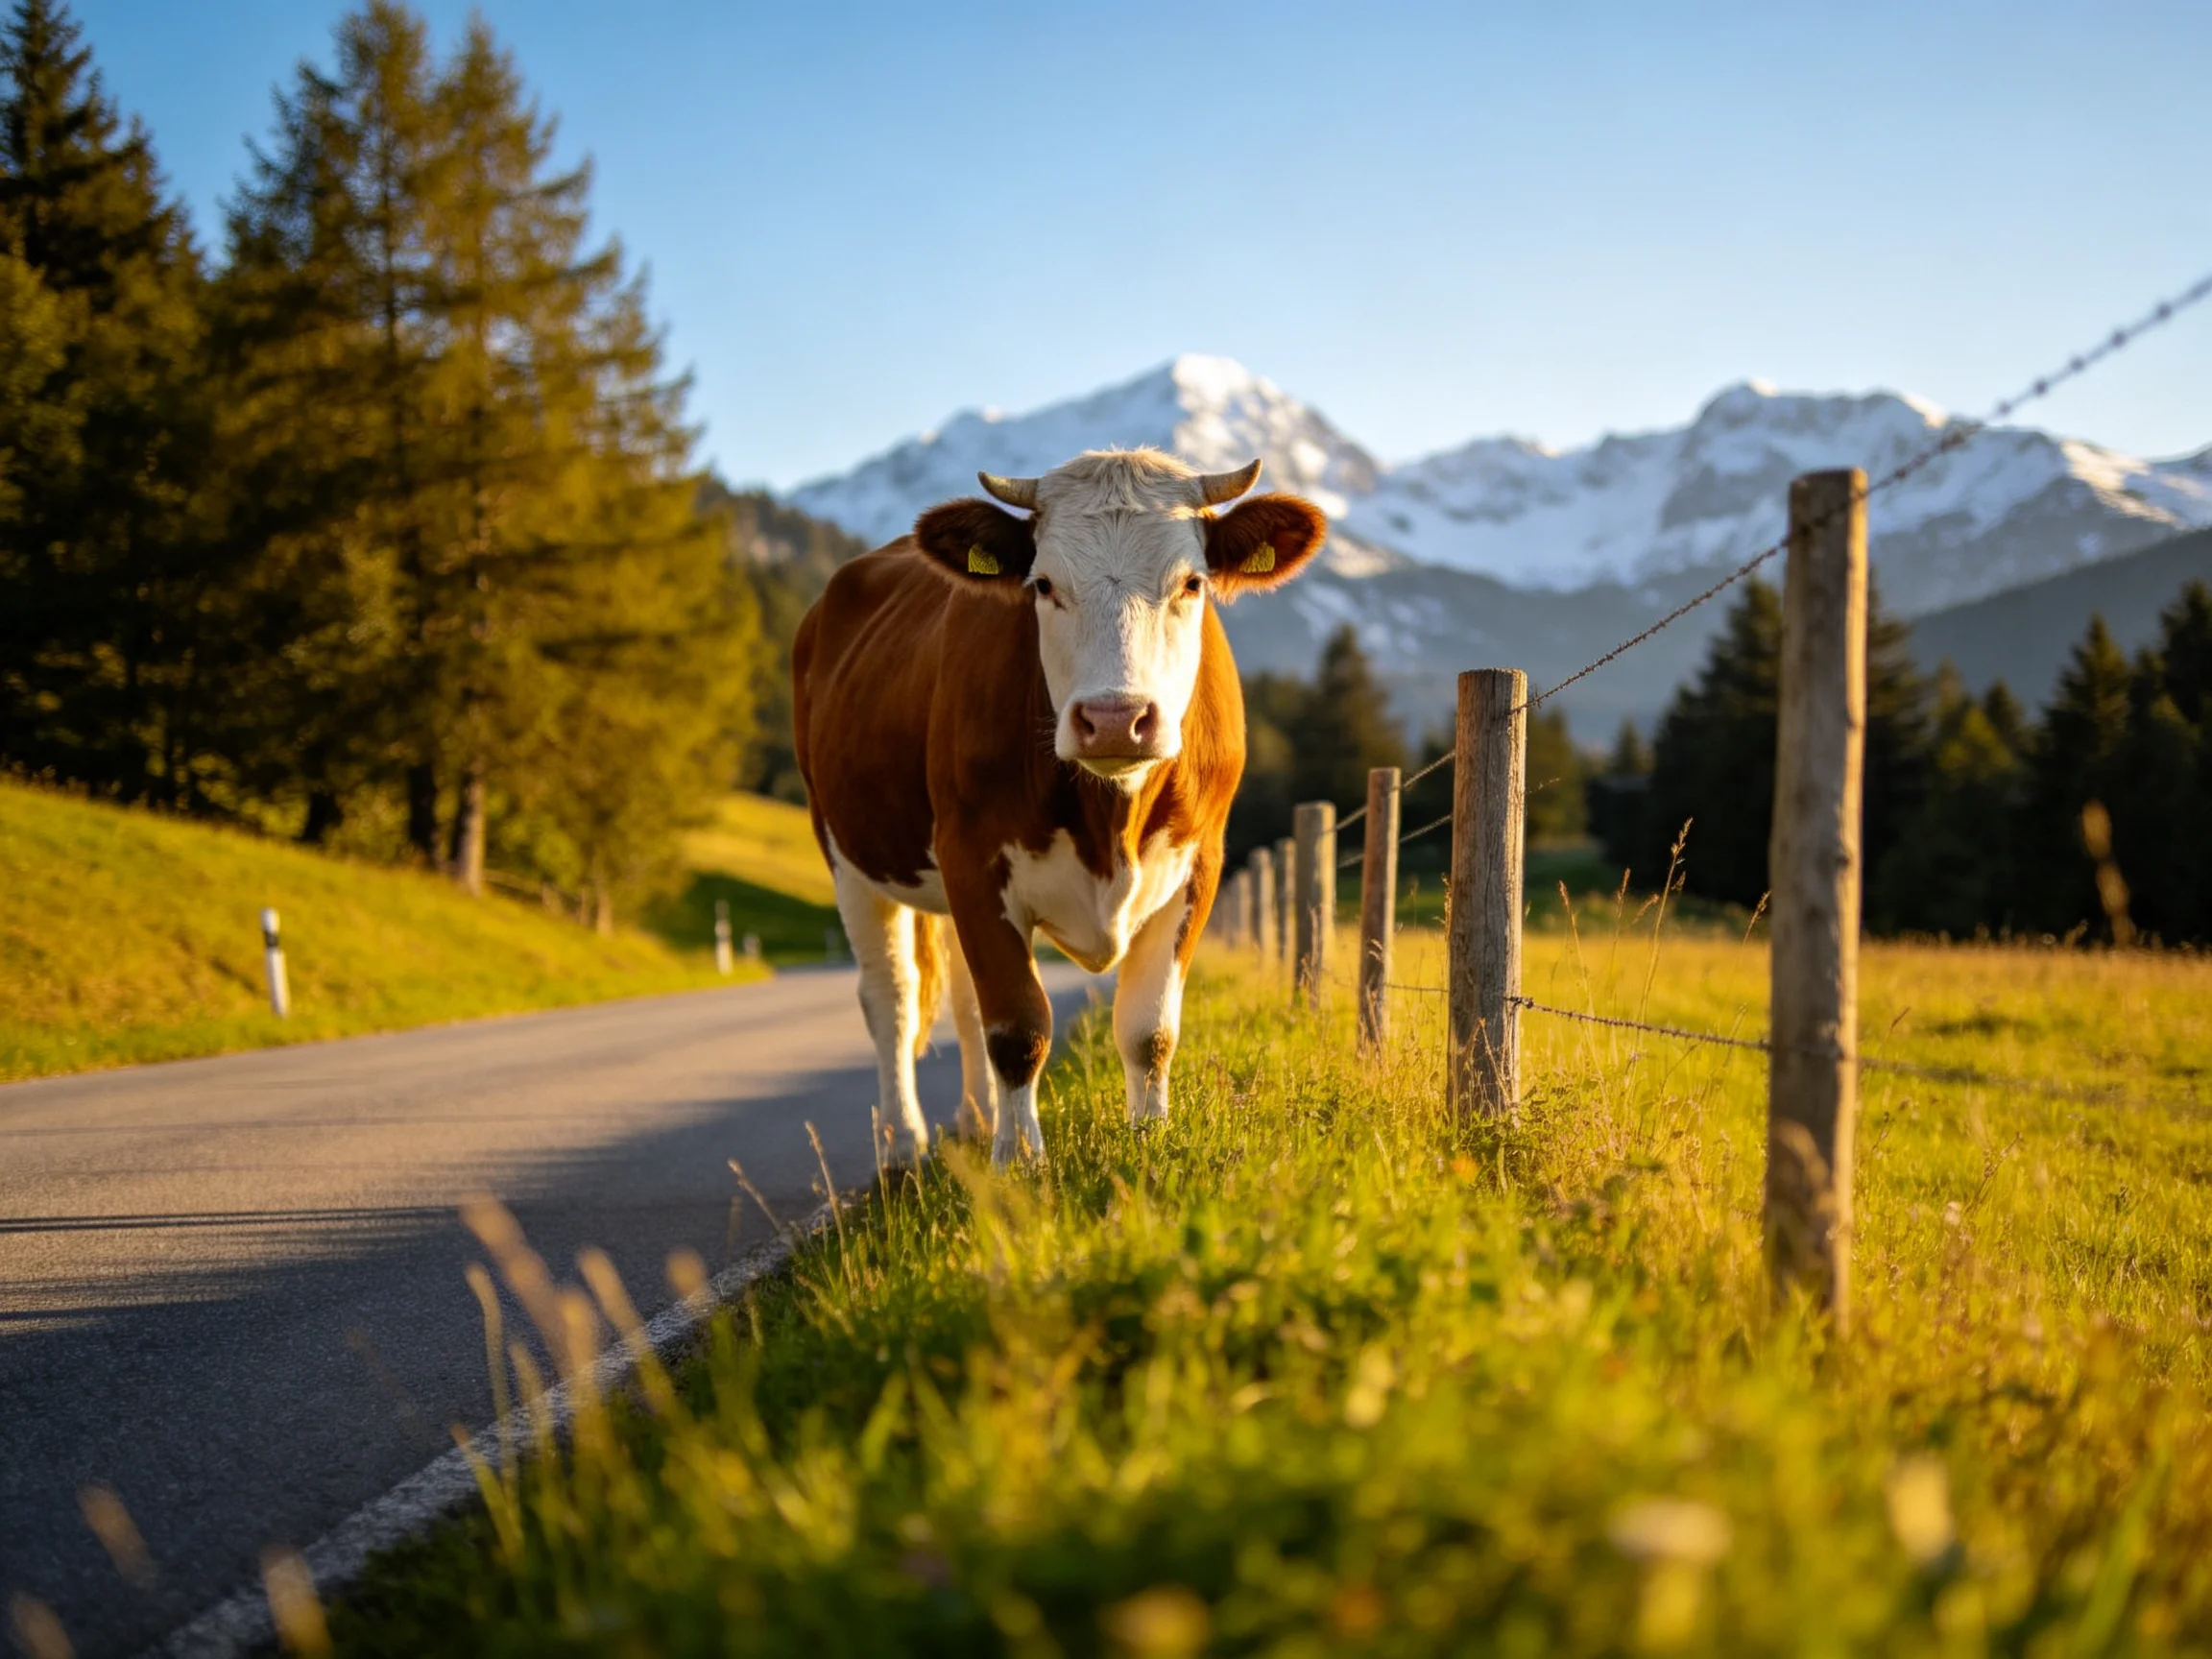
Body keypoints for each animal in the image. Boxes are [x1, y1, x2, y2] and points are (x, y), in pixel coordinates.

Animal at [792, 448, 1327, 1164]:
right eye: (1043, 585)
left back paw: (974, 1121)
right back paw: (903, 1146)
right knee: (892, 996)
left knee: (961, 998)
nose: (1114, 719)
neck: (1111, 822)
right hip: (847, 852)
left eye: (1191, 584)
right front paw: (1020, 1160)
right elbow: (1018, 1026)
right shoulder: (972, 859)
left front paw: (1148, 1142)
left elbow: (1148, 1028)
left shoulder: (1200, 865)